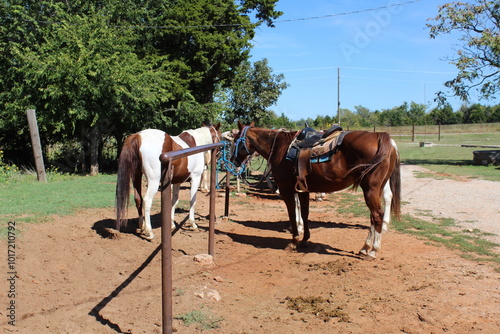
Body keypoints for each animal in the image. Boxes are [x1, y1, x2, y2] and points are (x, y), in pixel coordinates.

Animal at [231, 121, 402, 260]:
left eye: (235, 140)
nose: (233, 161)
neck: (279, 146)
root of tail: (381, 137)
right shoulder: (303, 190)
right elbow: (305, 213)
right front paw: (305, 239)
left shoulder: (287, 190)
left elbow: (293, 214)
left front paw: (294, 241)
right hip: (376, 188)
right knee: (374, 215)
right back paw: (365, 248)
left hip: (370, 189)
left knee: (377, 215)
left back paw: (373, 250)